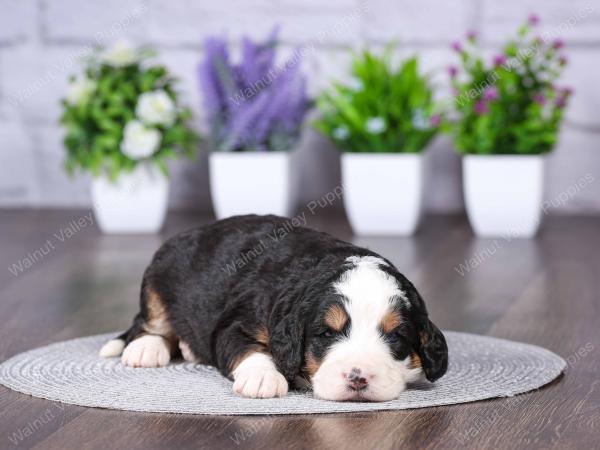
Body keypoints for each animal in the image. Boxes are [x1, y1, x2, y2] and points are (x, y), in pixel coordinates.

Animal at [98, 214, 446, 400]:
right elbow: (248, 349)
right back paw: (146, 349)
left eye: (396, 337)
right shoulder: (236, 323)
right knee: (147, 324)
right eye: (327, 334)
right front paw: (263, 378)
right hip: (157, 281)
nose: (358, 378)